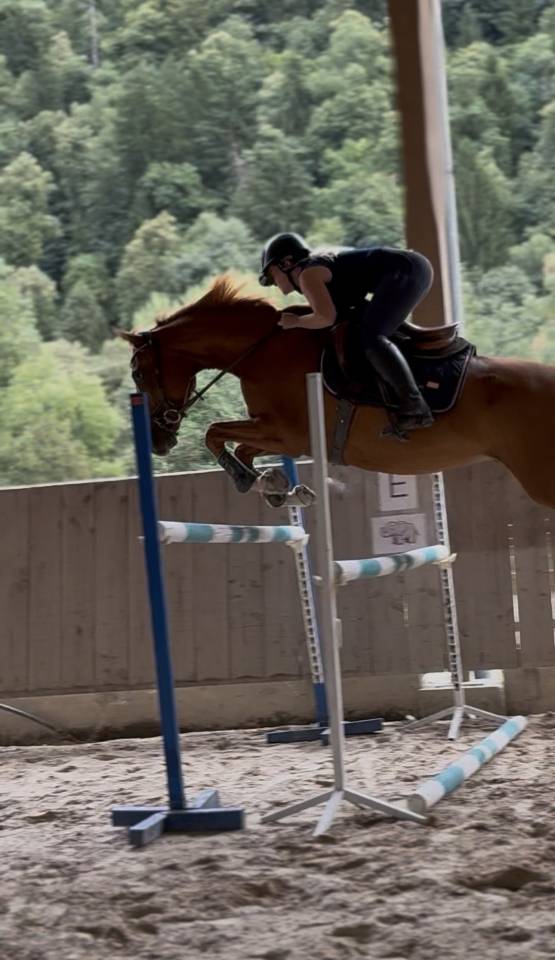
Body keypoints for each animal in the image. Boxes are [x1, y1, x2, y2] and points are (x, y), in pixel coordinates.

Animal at [120, 276, 555, 511]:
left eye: (139, 372)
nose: (158, 441)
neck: (260, 351)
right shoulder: (275, 432)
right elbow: (236, 445)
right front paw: (275, 487)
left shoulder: (288, 434)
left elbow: (214, 433)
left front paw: (254, 481)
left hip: (541, 481)